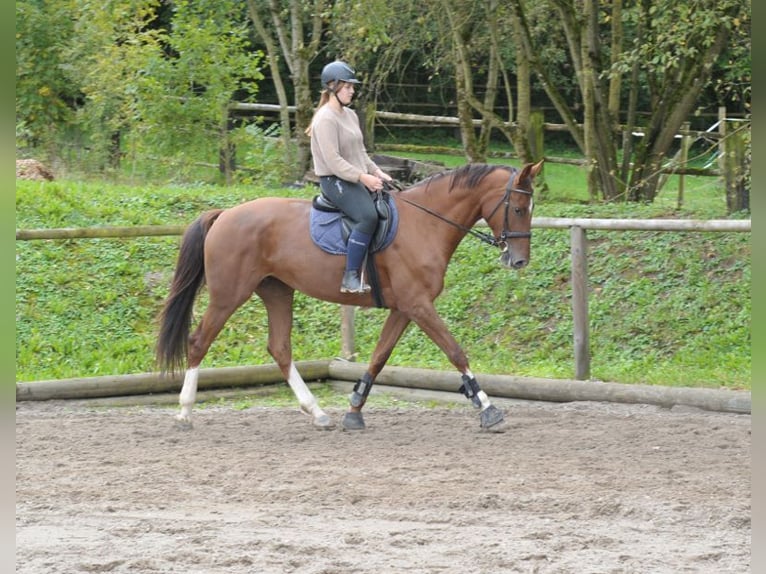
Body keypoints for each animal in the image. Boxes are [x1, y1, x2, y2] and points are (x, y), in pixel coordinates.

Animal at [154, 161, 544, 432]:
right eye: (518, 209)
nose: (519, 260)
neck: (426, 224)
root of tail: (224, 215)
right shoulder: (418, 305)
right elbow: (455, 351)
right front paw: (488, 408)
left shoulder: (405, 308)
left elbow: (378, 357)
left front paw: (354, 409)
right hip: (228, 294)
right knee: (199, 341)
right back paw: (184, 413)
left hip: (277, 291)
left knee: (280, 348)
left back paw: (317, 413)